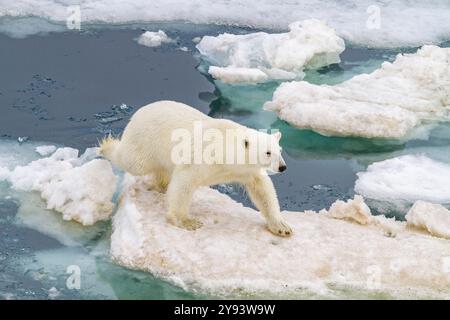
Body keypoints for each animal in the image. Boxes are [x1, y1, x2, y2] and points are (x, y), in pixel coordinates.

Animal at [100, 101, 294, 236]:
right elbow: (184, 182)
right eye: (268, 152)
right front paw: (188, 222)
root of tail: (139, 112)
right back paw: (107, 146)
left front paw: (282, 227)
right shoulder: (202, 156)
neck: (225, 150)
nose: (283, 167)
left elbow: (262, 188)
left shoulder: (245, 170)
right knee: (132, 161)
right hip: (145, 142)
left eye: (280, 150)